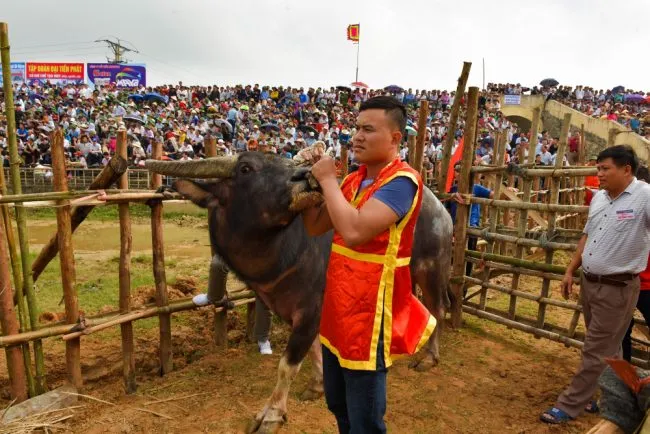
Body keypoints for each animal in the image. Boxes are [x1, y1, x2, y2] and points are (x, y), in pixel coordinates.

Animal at [146, 152, 450, 430]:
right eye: (245, 169)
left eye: (284, 162)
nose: (305, 176)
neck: (281, 252)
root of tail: (441, 207)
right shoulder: (290, 309)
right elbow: (313, 349)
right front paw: (317, 385)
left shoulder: (312, 309)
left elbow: (287, 364)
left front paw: (271, 414)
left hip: (431, 268)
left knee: (437, 308)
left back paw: (429, 358)